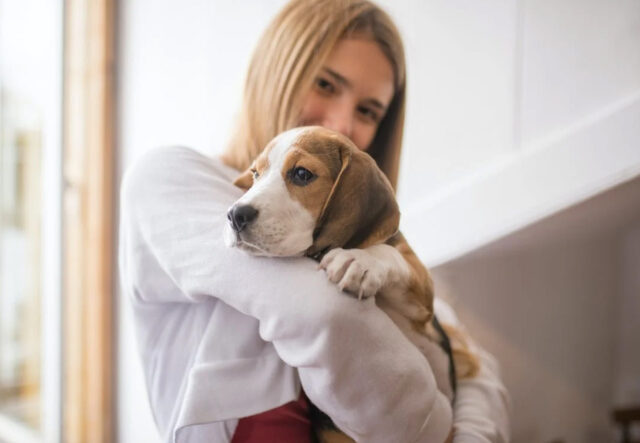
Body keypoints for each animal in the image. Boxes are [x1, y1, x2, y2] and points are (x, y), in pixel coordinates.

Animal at [226, 126, 480, 442]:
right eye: (255, 174)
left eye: (302, 174)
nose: (235, 215)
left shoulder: (422, 299)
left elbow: (387, 253)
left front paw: (358, 260)